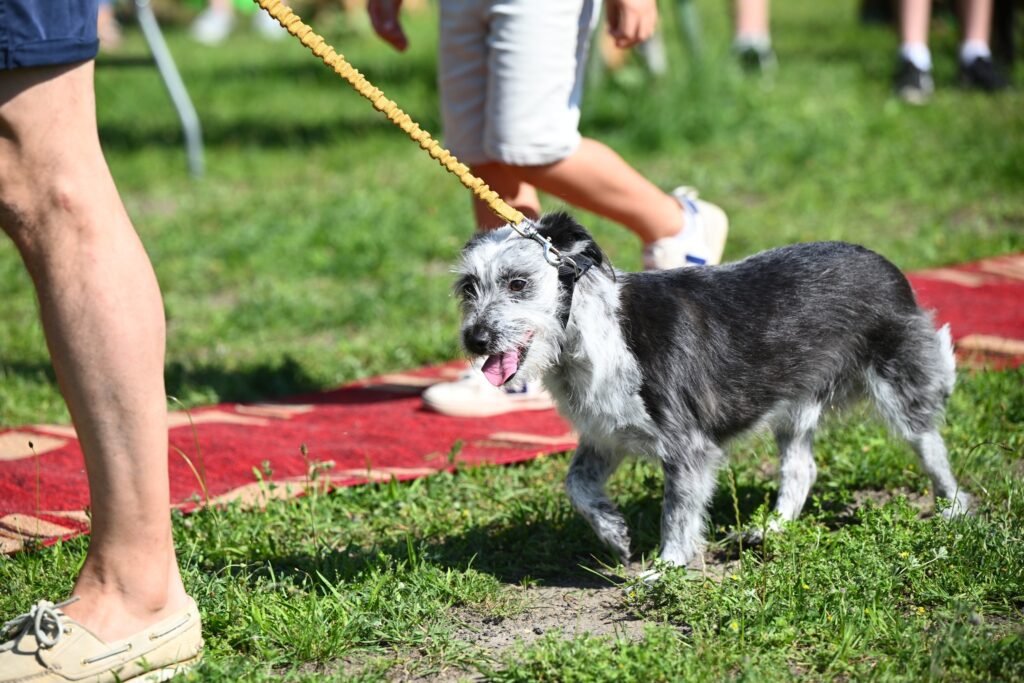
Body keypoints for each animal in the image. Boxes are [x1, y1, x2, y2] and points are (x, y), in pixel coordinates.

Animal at [453, 212, 971, 568]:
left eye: (518, 283)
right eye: (468, 288)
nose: (474, 339)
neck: (590, 331)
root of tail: (890, 269)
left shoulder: (688, 446)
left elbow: (677, 515)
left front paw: (665, 570)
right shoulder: (606, 433)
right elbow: (576, 484)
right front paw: (615, 533)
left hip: (900, 385)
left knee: (931, 449)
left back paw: (953, 511)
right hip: (793, 405)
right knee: (801, 469)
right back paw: (769, 529)